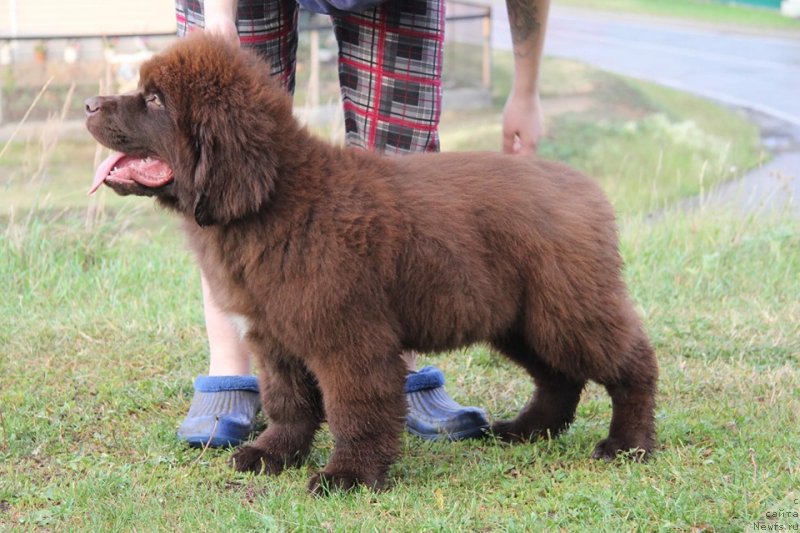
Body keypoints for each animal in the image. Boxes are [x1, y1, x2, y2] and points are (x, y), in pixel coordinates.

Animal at [86, 32, 656, 490]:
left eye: (154, 99)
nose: (90, 103)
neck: (274, 199)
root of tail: (585, 186)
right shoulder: (273, 336)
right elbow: (288, 402)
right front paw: (274, 455)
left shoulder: (348, 337)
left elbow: (354, 410)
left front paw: (349, 476)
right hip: (519, 318)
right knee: (559, 376)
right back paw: (527, 430)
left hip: (566, 308)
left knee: (632, 363)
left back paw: (628, 444)